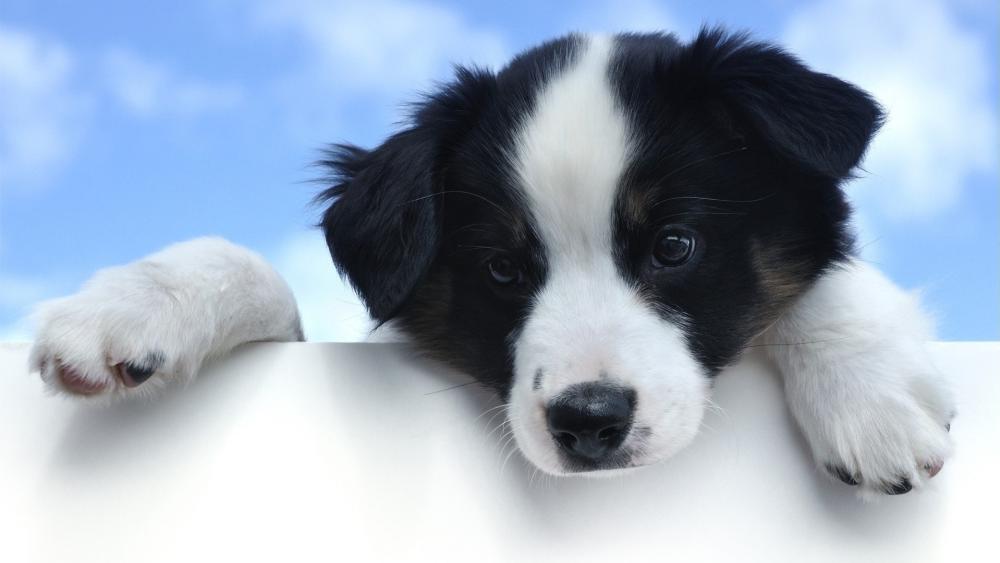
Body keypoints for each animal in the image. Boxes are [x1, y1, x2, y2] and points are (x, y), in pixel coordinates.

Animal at [29, 29, 952, 502]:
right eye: (504, 269)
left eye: (674, 246)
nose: (588, 422)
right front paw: (136, 301)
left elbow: (825, 281)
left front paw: (872, 397)